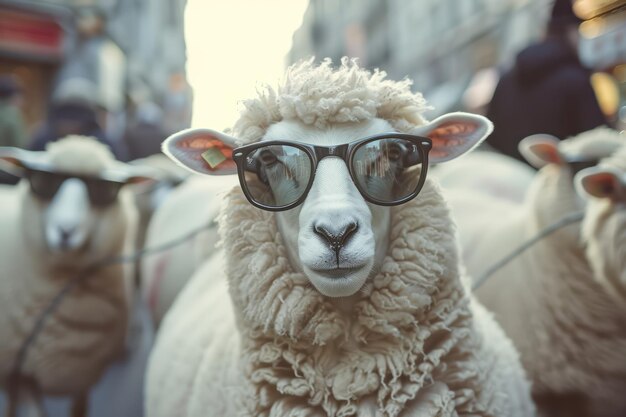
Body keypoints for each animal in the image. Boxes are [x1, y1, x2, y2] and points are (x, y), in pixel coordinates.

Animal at [0, 135, 152, 414]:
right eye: (41, 182)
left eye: (106, 191)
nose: (65, 230)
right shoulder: (20, 375)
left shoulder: (85, 377)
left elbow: (79, 408)